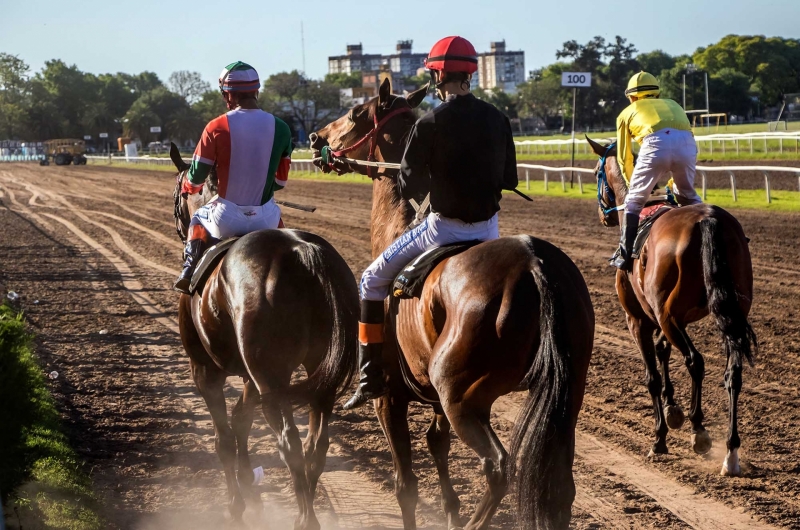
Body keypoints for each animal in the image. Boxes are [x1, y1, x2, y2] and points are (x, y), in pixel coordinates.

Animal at [168, 144, 356, 528]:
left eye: (178, 192)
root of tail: (303, 251)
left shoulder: (205, 371)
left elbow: (225, 438)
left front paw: (236, 506)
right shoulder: (251, 376)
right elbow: (241, 421)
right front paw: (249, 492)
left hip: (271, 378)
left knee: (290, 443)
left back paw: (305, 519)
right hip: (319, 374)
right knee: (317, 444)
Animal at [310, 79, 592, 528]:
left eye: (354, 113)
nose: (315, 138)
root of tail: (534, 263)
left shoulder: (390, 400)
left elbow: (405, 485)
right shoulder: (435, 402)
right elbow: (436, 444)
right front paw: (449, 510)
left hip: (464, 397)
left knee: (499, 467)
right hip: (566, 395)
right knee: (561, 485)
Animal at [584, 136, 760, 474]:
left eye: (596, 174)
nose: (603, 216)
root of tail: (708, 220)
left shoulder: (638, 319)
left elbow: (652, 375)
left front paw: (660, 436)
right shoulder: (667, 316)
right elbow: (663, 350)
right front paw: (674, 409)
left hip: (667, 315)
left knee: (696, 361)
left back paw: (700, 432)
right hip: (728, 310)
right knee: (732, 371)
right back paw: (730, 452)